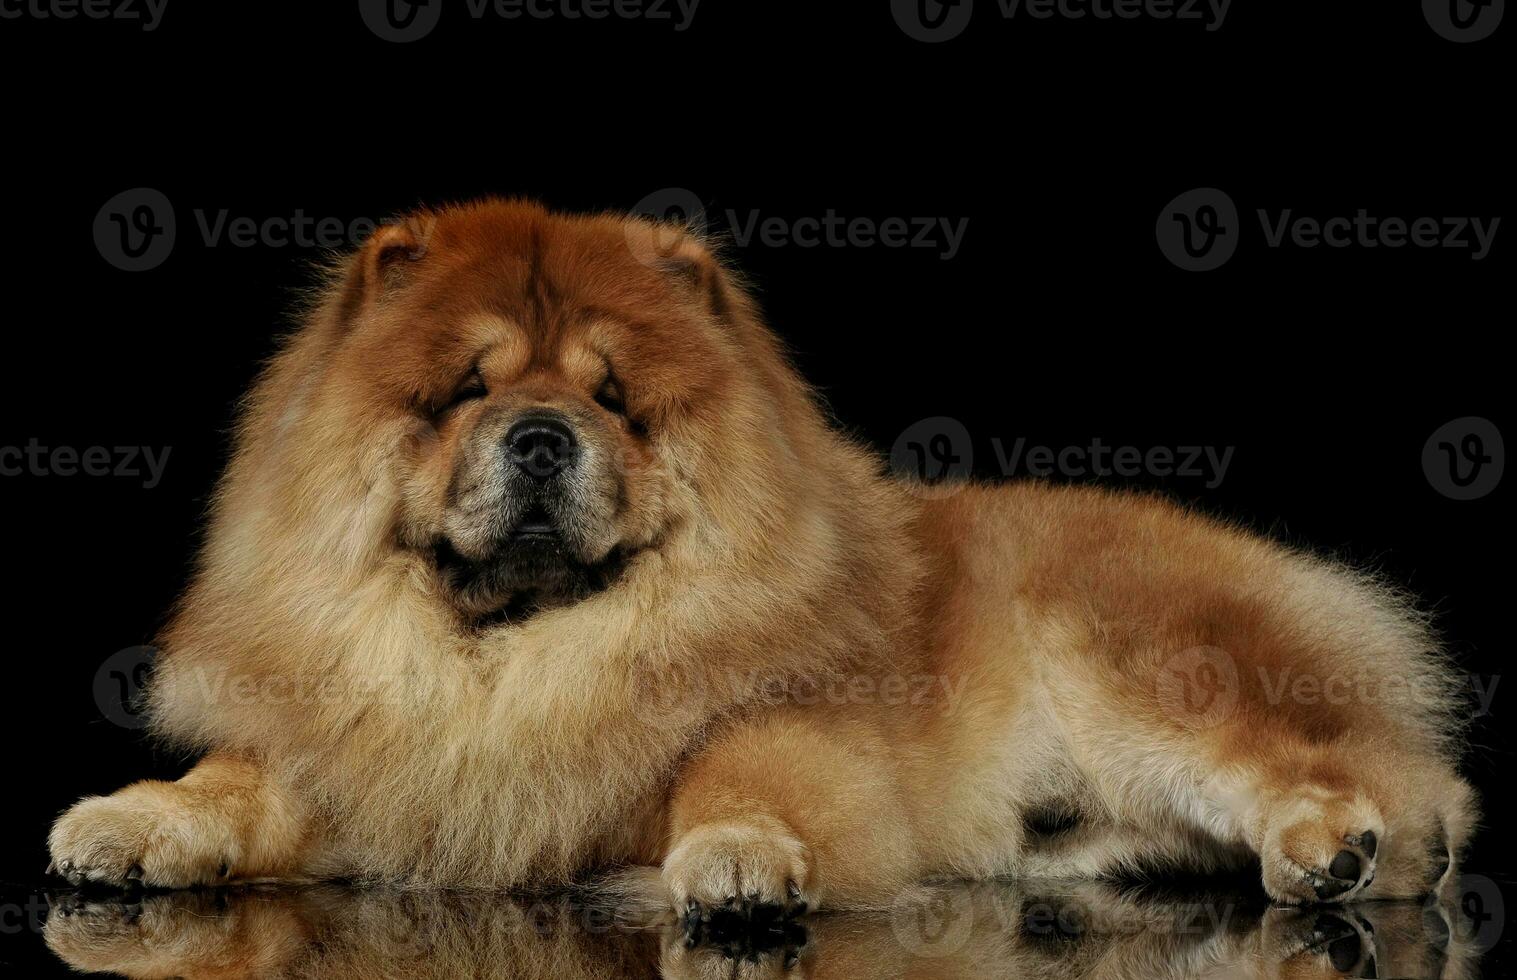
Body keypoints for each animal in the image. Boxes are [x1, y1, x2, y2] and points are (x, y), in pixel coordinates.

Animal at [44, 195, 1468, 916]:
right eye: (466, 392)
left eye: (616, 399)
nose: (544, 434)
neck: (512, 658)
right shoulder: (365, 751)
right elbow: (233, 781)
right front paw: (128, 818)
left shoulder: (785, 719)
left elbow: (734, 772)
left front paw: (732, 858)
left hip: (1141, 666)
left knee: (1360, 770)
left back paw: (1338, 850)